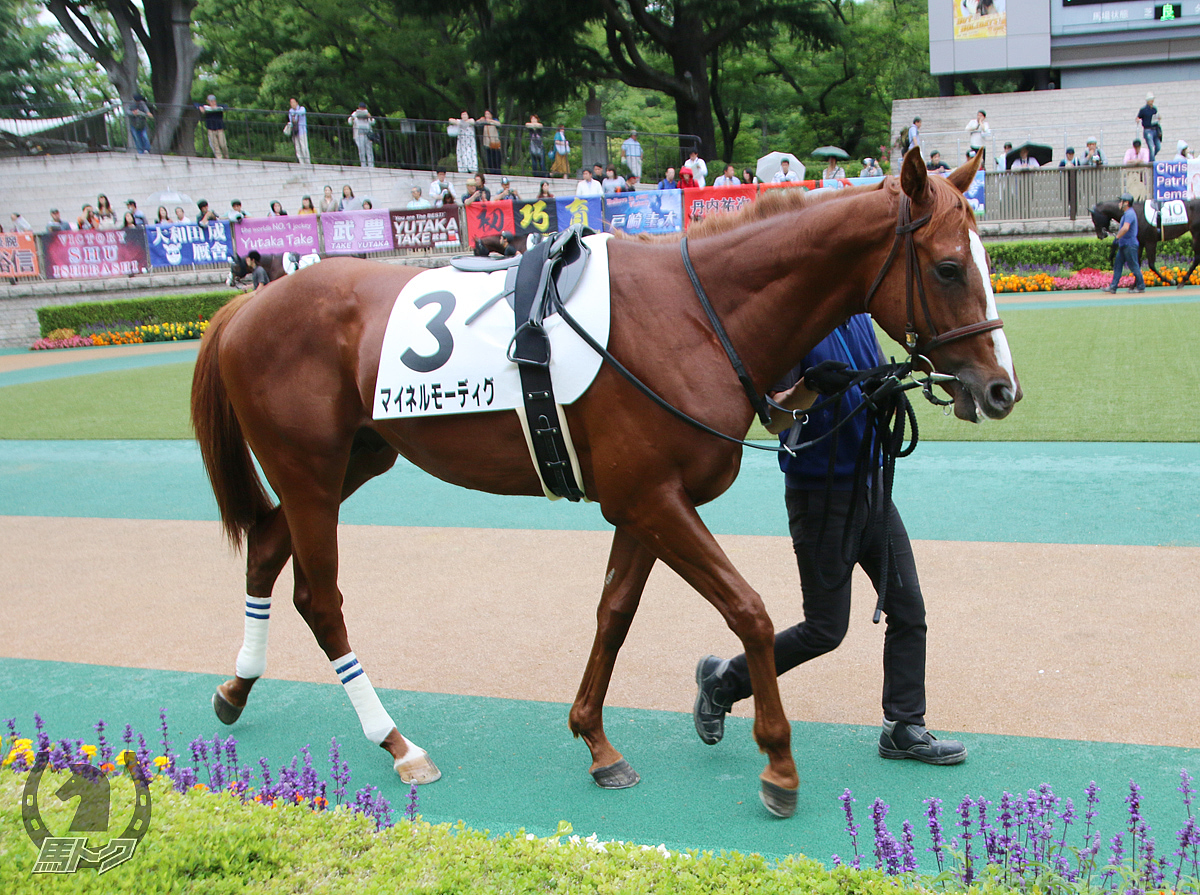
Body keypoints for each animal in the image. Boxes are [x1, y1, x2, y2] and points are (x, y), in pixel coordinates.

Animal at [192, 149, 1017, 811]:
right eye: (949, 267)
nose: (1002, 388)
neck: (694, 315)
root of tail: (247, 304)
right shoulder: (653, 498)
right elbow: (748, 611)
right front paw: (778, 763)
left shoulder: (642, 503)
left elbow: (613, 613)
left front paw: (596, 741)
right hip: (310, 469)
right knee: (319, 597)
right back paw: (398, 742)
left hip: (356, 458)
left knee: (266, 547)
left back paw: (236, 687)